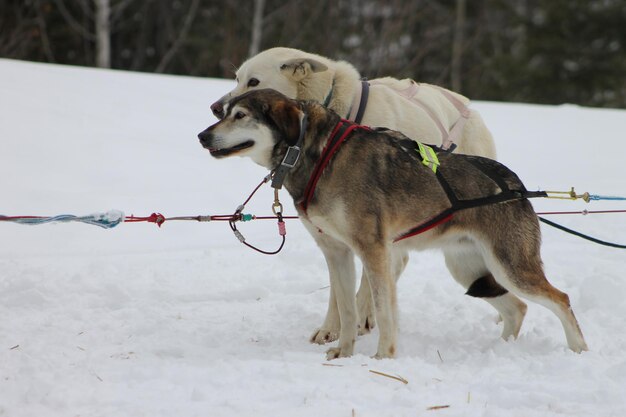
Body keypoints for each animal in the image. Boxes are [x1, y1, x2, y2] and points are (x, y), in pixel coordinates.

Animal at [197, 90, 588, 358]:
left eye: (240, 115)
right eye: (225, 113)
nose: (202, 135)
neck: (320, 156)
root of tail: (516, 185)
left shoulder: (374, 251)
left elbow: (382, 311)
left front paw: (383, 357)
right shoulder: (337, 253)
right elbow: (347, 309)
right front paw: (344, 353)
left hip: (510, 268)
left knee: (562, 299)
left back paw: (578, 350)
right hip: (470, 270)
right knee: (517, 308)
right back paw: (500, 349)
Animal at [211, 46, 498, 344]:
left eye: (253, 81)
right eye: (237, 78)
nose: (216, 108)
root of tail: (470, 108)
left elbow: (366, 282)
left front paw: (359, 319)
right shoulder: (334, 234)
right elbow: (339, 290)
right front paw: (331, 327)